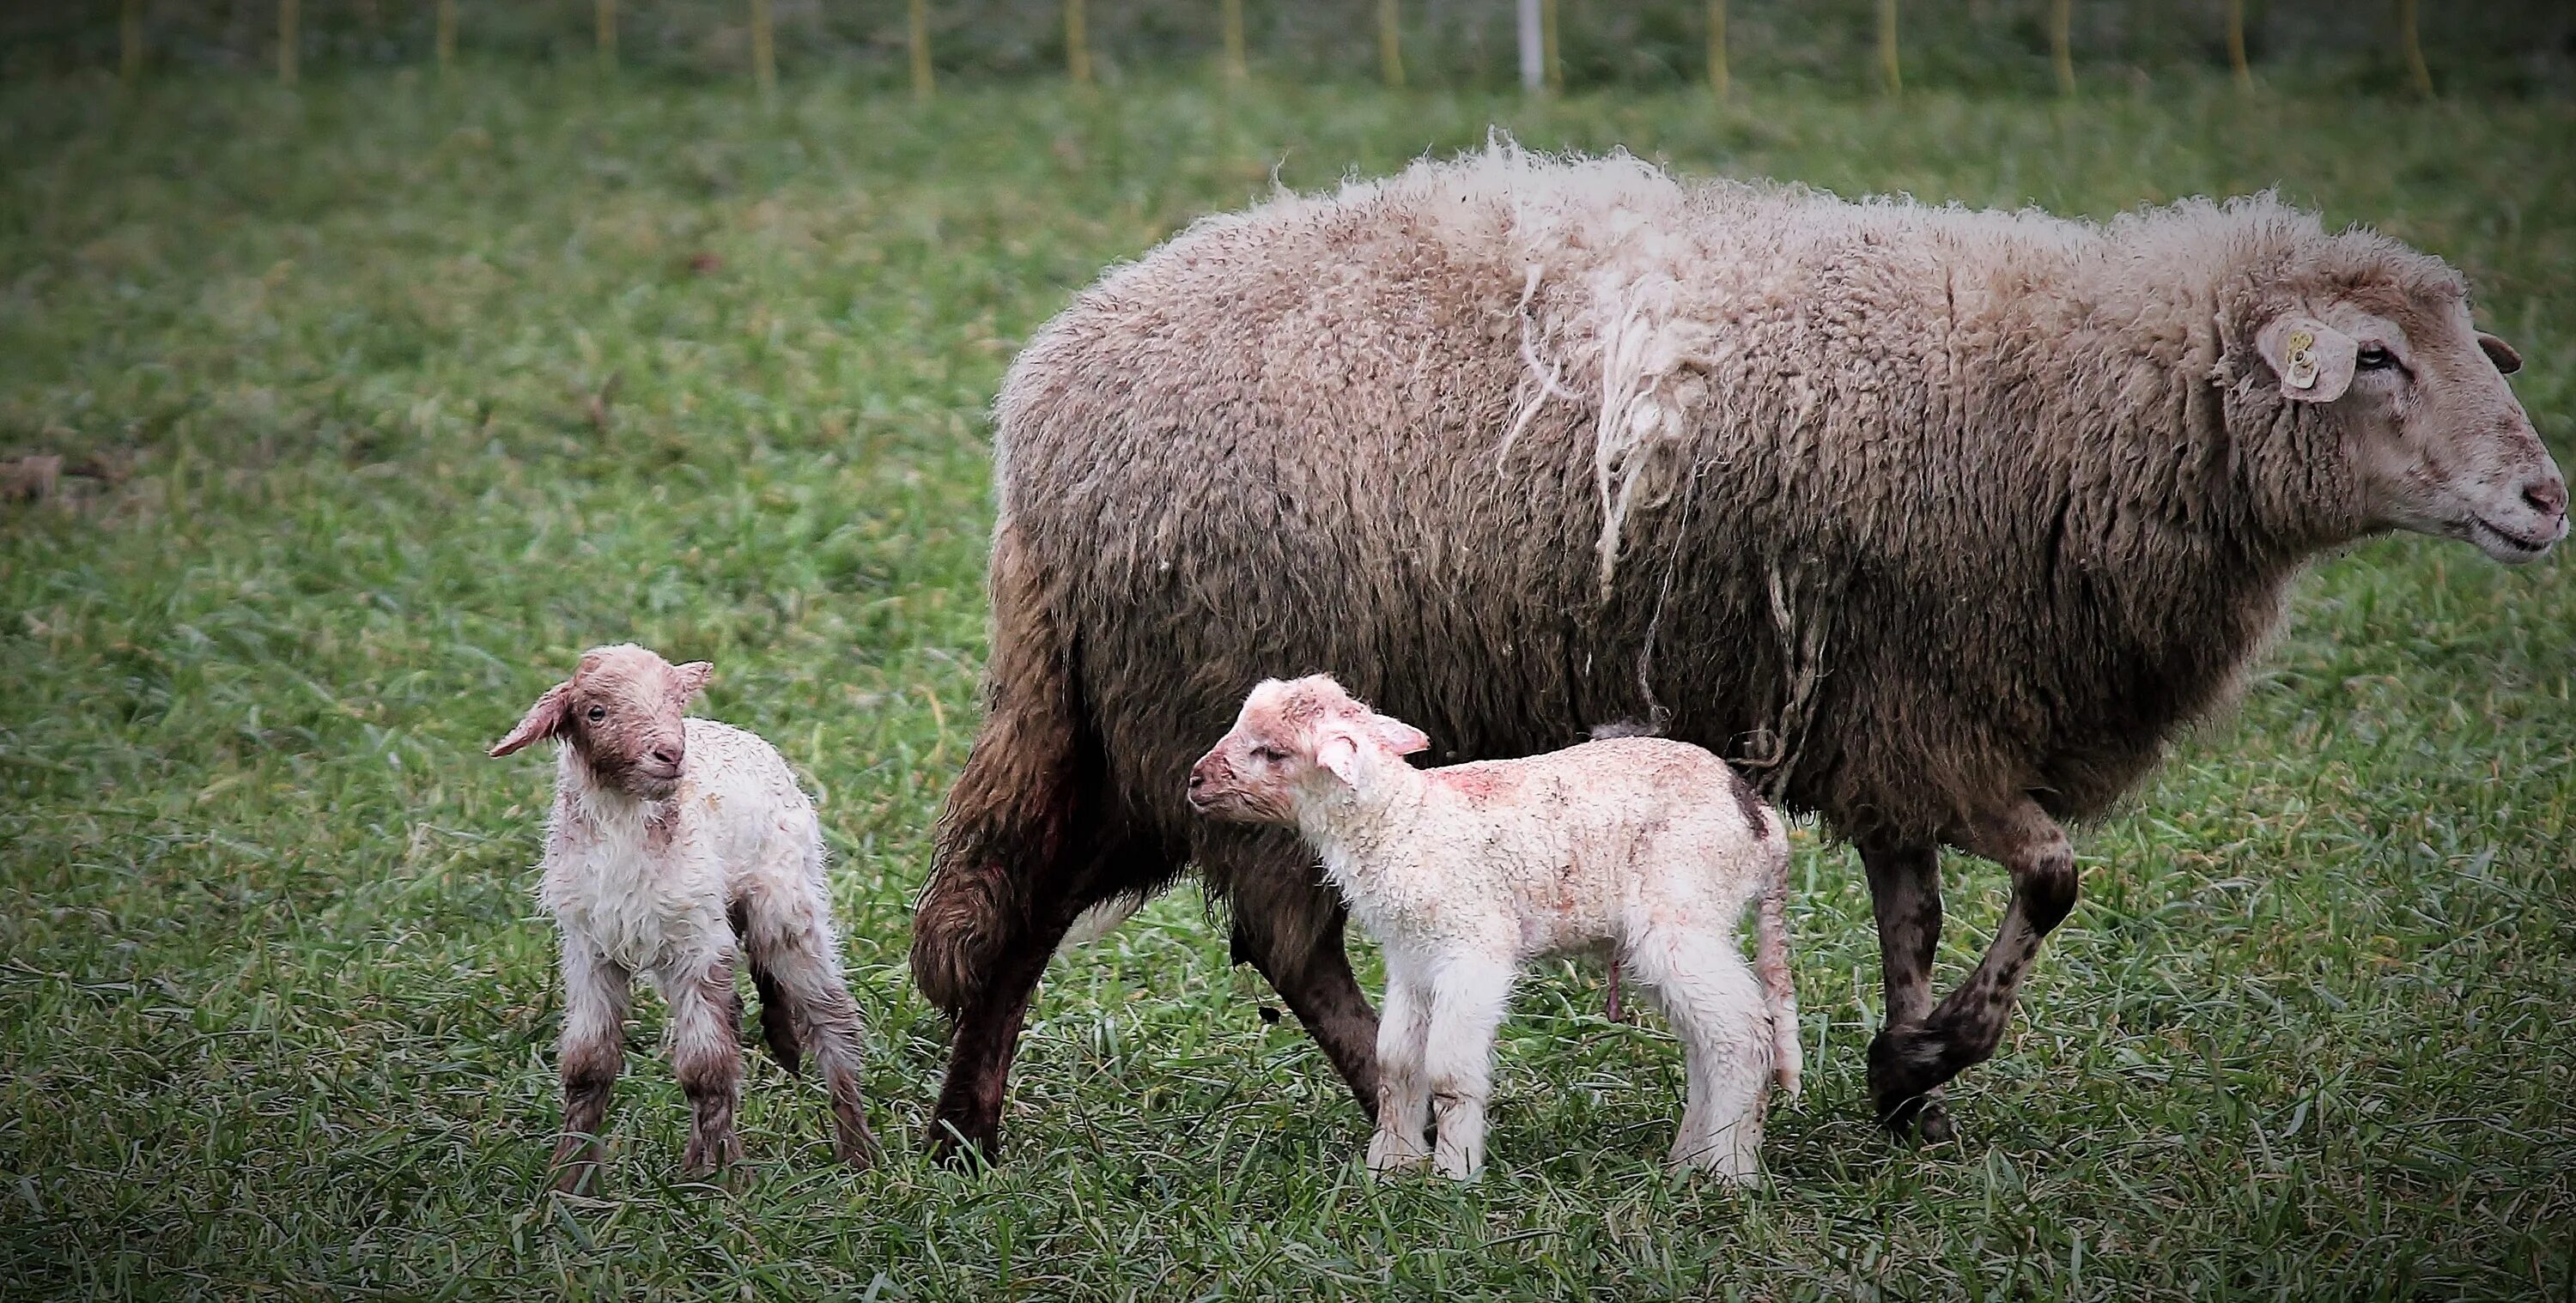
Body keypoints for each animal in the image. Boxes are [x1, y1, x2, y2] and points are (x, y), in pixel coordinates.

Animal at [487, 644, 881, 1190]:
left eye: (674, 701)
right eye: (596, 712)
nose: (671, 753)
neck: (627, 824)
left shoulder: (697, 941)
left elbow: (703, 1069)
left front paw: (713, 1184)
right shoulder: (590, 945)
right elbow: (588, 1066)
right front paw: (569, 1184)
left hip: (784, 907)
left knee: (831, 1016)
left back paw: (858, 1156)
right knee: (733, 1019)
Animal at [1180, 675, 1793, 1185]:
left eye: (1271, 752)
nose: (1194, 781)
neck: (1400, 820)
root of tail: (1761, 822)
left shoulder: (1473, 950)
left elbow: (1448, 1070)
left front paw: (1453, 1174)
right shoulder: (1410, 958)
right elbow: (1396, 1063)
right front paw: (1390, 1167)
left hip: (1685, 915)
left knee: (1745, 1033)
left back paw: (1729, 1172)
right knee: (1706, 1041)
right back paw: (1686, 1163)